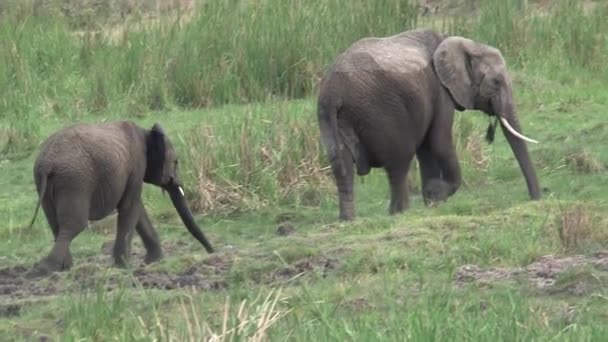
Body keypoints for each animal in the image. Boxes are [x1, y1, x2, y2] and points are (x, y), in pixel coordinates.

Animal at [29, 121, 214, 274]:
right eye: (176, 162)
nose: (211, 252)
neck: (146, 132)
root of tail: (47, 163)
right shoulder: (137, 164)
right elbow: (130, 206)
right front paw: (124, 266)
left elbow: (137, 209)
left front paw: (153, 261)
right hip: (74, 181)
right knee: (74, 225)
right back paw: (47, 269)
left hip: (46, 182)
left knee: (56, 224)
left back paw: (63, 267)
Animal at [318, 29, 540, 222]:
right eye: (496, 82)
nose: (537, 198)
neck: (459, 43)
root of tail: (335, 91)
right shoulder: (440, 91)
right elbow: (439, 142)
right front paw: (436, 195)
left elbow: (426, 148)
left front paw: (431, 202)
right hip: (381, 111)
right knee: (399, 160)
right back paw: (399, 212)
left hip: (329, 115)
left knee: (341, 163)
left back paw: (347, 220)